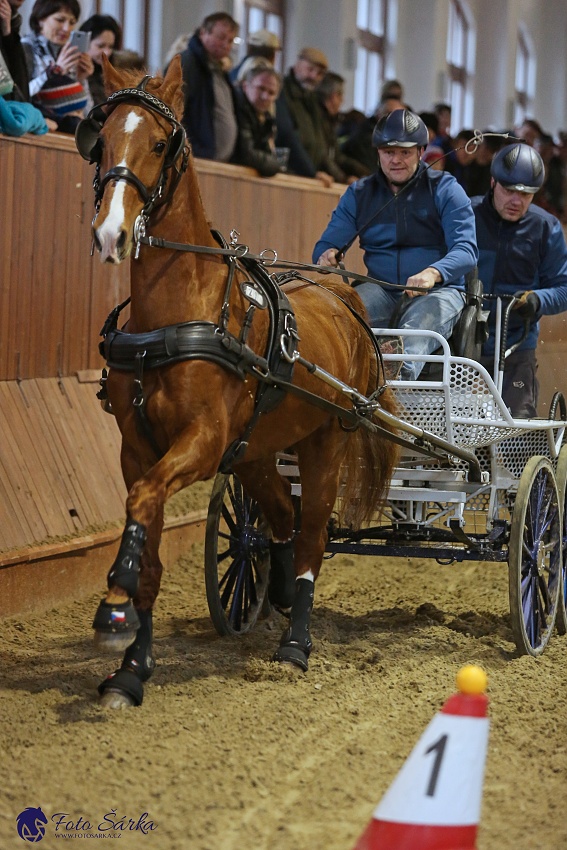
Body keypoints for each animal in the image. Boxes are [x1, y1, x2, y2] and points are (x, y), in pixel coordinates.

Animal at [77, 56, 400, 704]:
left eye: (159, 142)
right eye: (102, 141)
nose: (111, 234)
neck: (177, 317)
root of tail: (343, 295)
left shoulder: (201, 444)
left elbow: (143, 499)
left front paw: (113, 607)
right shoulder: (137, 447)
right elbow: (146, 532)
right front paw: (131, 667)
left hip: (324, 443)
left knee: (311, 534)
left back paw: (296, 644)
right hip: (255, 451)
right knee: (279, 519)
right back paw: (274, 592)